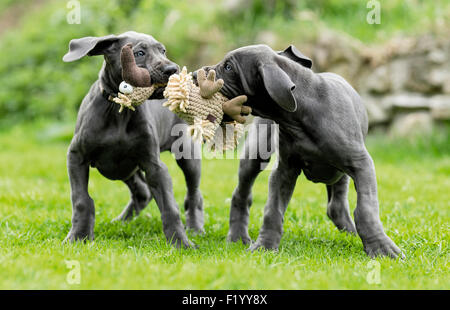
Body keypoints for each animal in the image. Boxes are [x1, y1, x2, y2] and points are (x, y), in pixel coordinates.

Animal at [62, 31, 203, 248]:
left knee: (193, 194)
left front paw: (180, 243)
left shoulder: (154, 166)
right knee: (143, 192)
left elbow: (170, 207)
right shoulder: (76, 157)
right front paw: (78, 236)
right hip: (124, 167)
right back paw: (120, 222)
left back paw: (195, 228)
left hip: (187, 155)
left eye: (163, 50)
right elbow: (81, 200)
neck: (119, 110)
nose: (172, 69)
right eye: (139, 53)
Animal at [202, 44, 402, 258]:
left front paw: (381, 247)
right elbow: (272, 210)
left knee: (337, 202)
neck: (301, 114)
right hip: (255, 154)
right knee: (241, 194)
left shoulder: (361, 163)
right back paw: (237, 235)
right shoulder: (284, 171)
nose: (200, 73)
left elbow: (366, 208)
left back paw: (350, 231)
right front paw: (265, 246)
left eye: (229, 67)